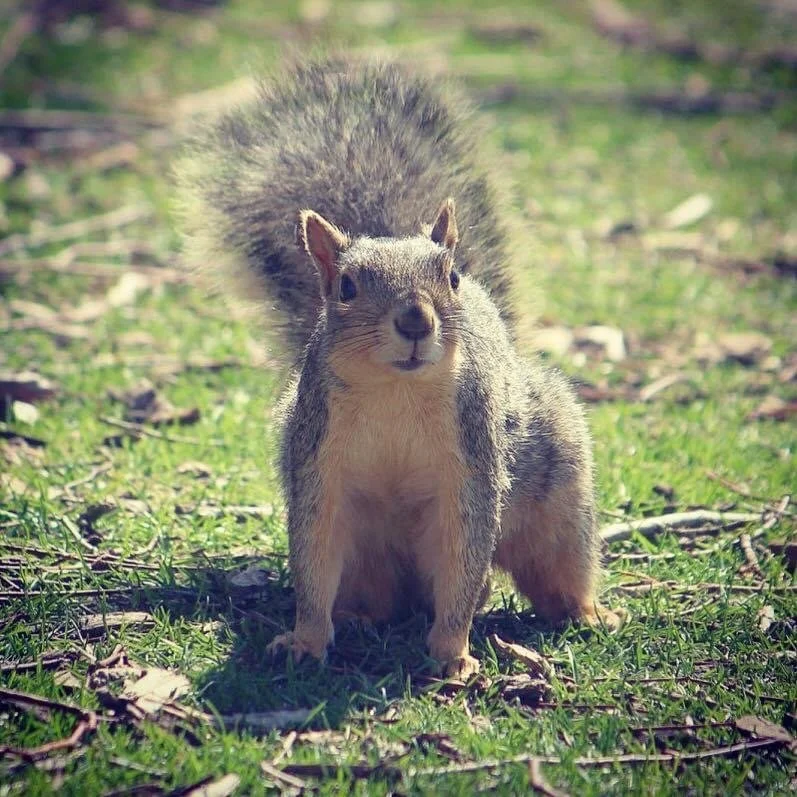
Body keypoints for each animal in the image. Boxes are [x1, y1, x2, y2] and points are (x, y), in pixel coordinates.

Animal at [176, 55, 620, 678]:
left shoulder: (471, 462)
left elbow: (463, 557)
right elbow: (313, 554)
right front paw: (305, 640)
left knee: (546, 567)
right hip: (368, 554)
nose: (414, 321)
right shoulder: (318, 461)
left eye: (451, 277)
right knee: (373, 592)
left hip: (557, 503)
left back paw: (585, 611)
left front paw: (452, 651)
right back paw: (360, 617)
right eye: (345, 287)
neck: (395, 392)